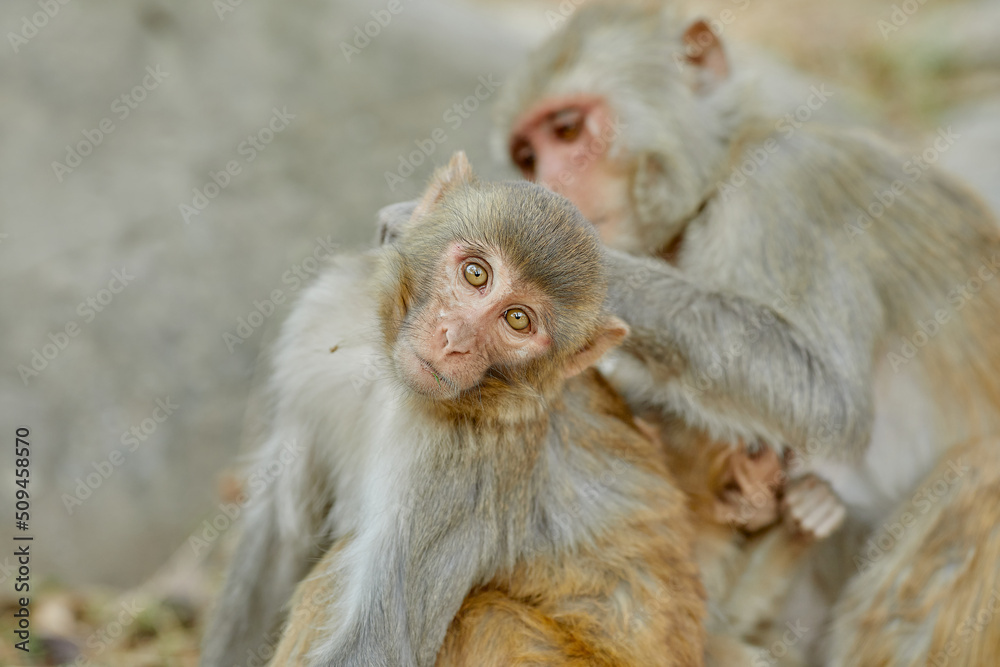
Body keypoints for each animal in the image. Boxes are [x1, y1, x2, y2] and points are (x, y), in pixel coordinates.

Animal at [201, 151, 707, 667]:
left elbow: (378, 642)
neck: (389, 379)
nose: (456, 340)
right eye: (476, 274)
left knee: (481, 617)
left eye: (518, 320)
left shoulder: (468, 463)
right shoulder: (320, 322)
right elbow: (282, 536)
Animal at [491, 2, 1000, 660]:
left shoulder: (781, 198)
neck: (730, 161)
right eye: (528, 156)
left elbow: (829, 403)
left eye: (569, 130)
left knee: (980, 470)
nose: (550, 184)